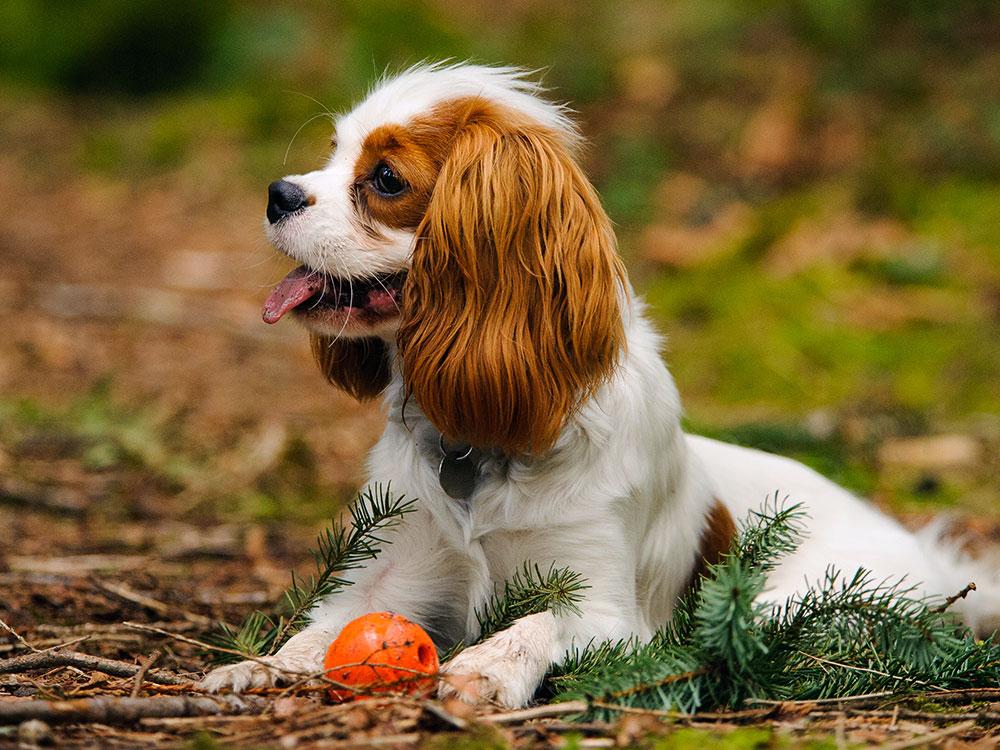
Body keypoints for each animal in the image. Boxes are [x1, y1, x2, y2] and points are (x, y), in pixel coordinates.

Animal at [199, 63, 996, 704]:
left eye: (387, 179)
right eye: (332, 154)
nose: (277, 193)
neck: (481, 443)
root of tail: (924, 550)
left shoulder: (608, 611)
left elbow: (539, 620)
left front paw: (485, 667)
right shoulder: (387, 577)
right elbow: (319, 628)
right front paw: (258, 667)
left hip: (793, 601)